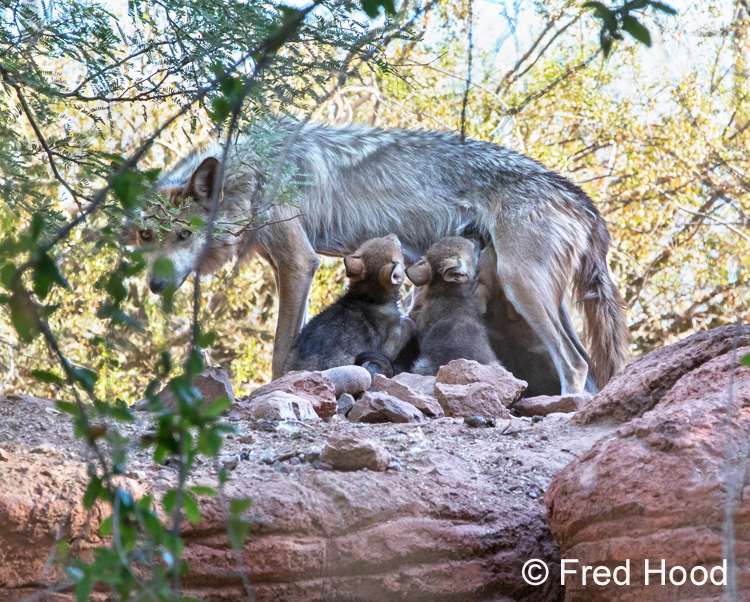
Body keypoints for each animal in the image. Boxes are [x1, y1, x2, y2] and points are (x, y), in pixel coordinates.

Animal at [126, 117, 630, 393]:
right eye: (148, 237)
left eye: (184, 235)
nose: (154, 285)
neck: (250, 173)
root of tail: (581, 199)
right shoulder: (289, 265)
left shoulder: (299, 261)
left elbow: (280, 353)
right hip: (542, 298)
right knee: (587, 364)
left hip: (519, 284)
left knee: (575, 362)